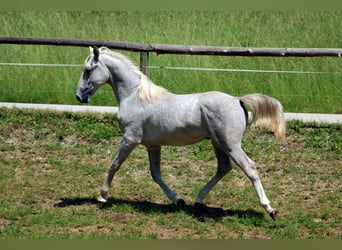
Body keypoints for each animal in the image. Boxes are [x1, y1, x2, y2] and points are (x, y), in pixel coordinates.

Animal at [75, 46, 286, 219]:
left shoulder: (130, 139)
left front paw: (102, 196)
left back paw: (270, 209)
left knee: (249, 168)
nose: (79, 96)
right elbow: (155, 174)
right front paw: (178, 201)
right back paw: (198, 201)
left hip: (231, 145)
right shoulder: (153, 145)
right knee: (224, 168)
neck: (135, 97)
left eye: (88, 70)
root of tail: (237, 100)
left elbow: (114, 165)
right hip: (218, 143)